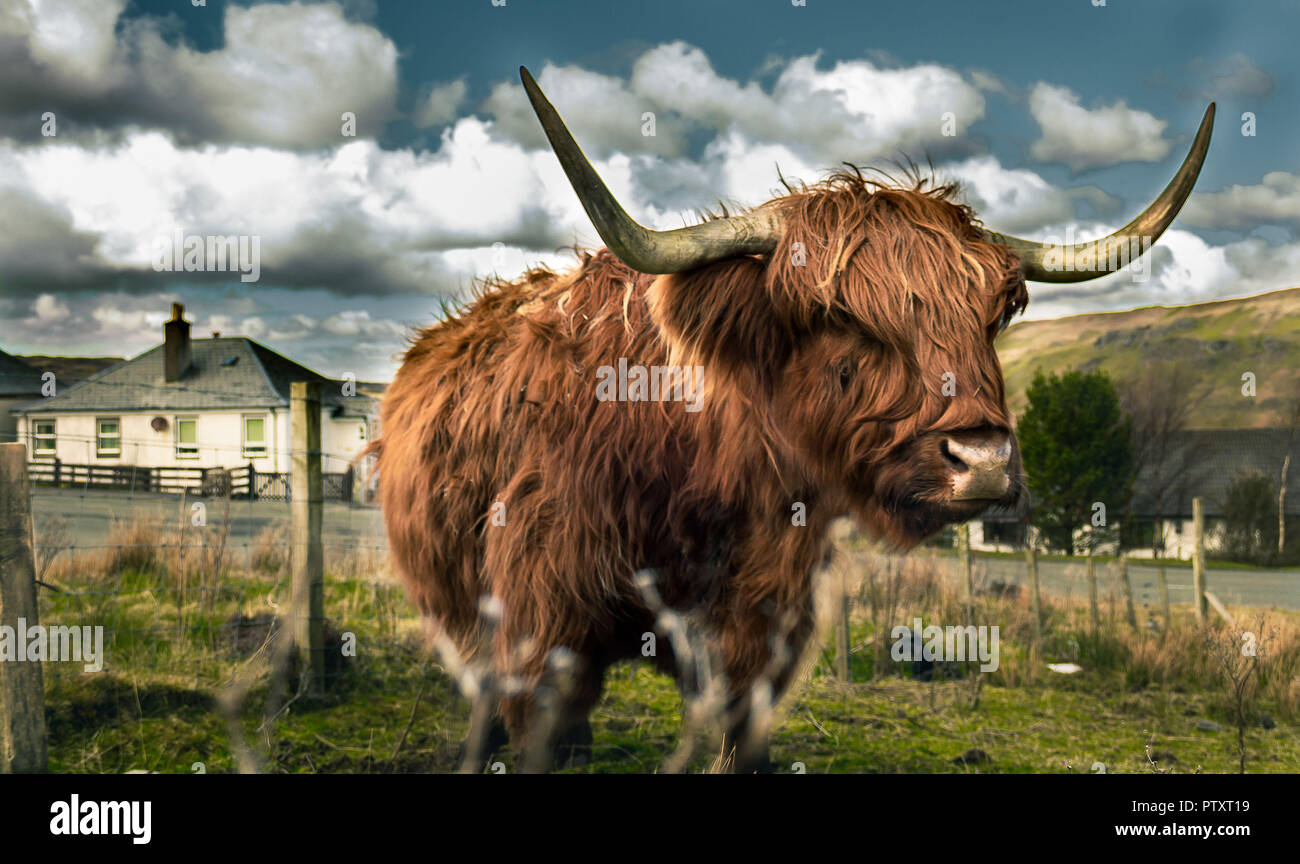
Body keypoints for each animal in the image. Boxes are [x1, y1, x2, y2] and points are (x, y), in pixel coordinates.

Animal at [374, 67, 1213, 772]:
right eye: (838, 316)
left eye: (993, 314)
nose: (981, 459)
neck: (691, 464)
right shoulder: (541, 624)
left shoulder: (767, 629)